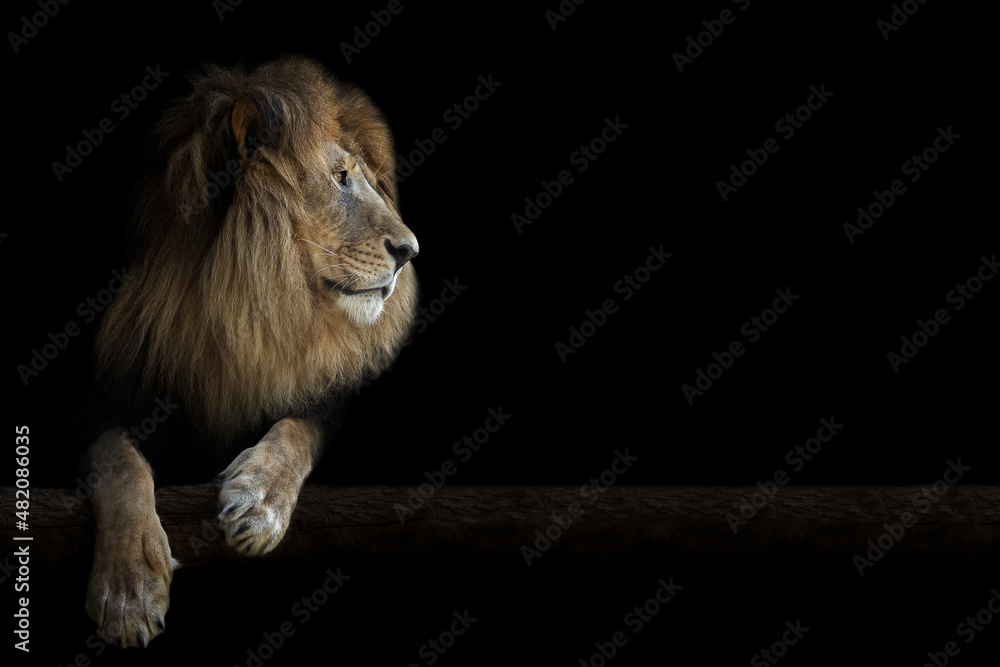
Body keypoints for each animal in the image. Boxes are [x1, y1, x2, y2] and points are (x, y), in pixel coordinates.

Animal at [82, 56, 418, 648]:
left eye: (363, 178)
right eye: (340, 178)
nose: (409, 251)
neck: (232, 318)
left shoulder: (320, 399)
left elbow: (297, 429)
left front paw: (259, 502)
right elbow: (117, 460)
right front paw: (128, 592)